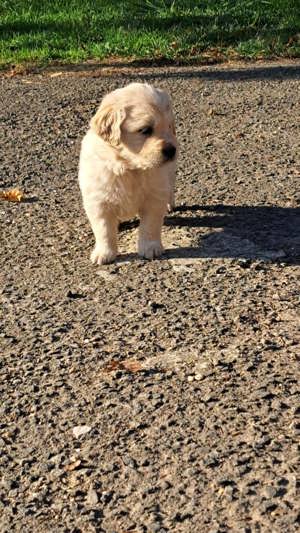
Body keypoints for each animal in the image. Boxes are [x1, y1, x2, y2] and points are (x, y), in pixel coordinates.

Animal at [78, 82, 178, 262]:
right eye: (145, 130)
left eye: (169, 126)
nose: (172, 150)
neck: (129, 167)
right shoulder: (98, 201)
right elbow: (103, 229)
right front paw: (104, 253)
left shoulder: (154, 197)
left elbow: (150, 226)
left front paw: (150, 248)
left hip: (169, 173)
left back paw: (169, 204)